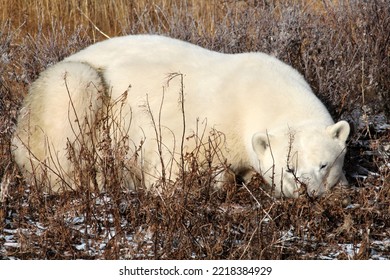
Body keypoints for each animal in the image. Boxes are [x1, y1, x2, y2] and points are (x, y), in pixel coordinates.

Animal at [12, 34, 348, 197]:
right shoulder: (198, 126)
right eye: (288, 167)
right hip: (65, 90)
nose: (307, 192)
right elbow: (169, 174)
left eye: (324, 164)